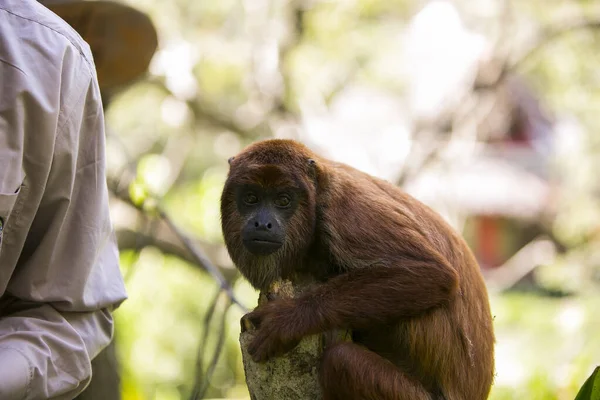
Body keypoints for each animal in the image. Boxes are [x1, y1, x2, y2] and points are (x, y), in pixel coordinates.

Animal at [220, 139, 496, 398]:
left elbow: (433, 273)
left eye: (283, 200)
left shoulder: (346, 209)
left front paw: (286, 320)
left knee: (341, 360)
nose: (262, 223)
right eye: (251, 198)